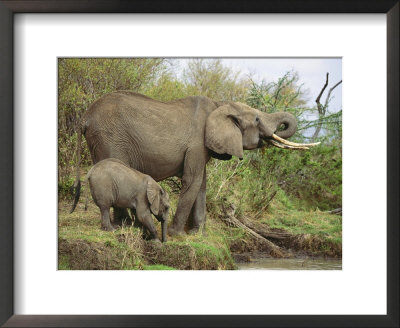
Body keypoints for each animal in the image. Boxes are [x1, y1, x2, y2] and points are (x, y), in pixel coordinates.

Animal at [70, 91, 318, 237]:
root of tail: (84, 117)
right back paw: (124, 226)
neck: (221, 104)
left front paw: (198, 235)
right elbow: (193, 180)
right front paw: (177, 235)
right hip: (110, 138)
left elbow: (201, 184)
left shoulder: (202, 147)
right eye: (257, 119)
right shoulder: (197, 142)